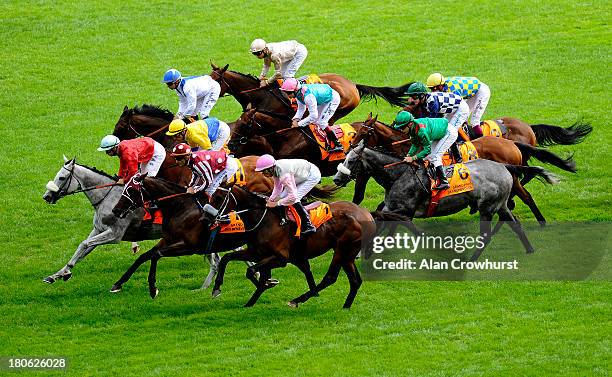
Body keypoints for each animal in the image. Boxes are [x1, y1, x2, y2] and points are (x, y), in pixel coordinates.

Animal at [43, 156, 225, 288]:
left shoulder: (115, 234)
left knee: (215, 261)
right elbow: (82, 249)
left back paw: (204, 289)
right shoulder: (98, 229)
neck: (108, 197)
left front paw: (65, 273)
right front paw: (58, 275)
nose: (47, 196)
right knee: (214, 259)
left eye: (62, 177)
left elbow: (84, 244)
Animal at [334, 142, 560, 260]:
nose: (336, 179)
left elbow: (400, 226)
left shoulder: (401, 210)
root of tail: (504, 166)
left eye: (351, 161)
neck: (399, 175)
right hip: (501, 205)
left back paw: (472, 259)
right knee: (516, 225)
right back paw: (529, 249)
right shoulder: (393, 209)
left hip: (487, 207)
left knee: (486, 235)